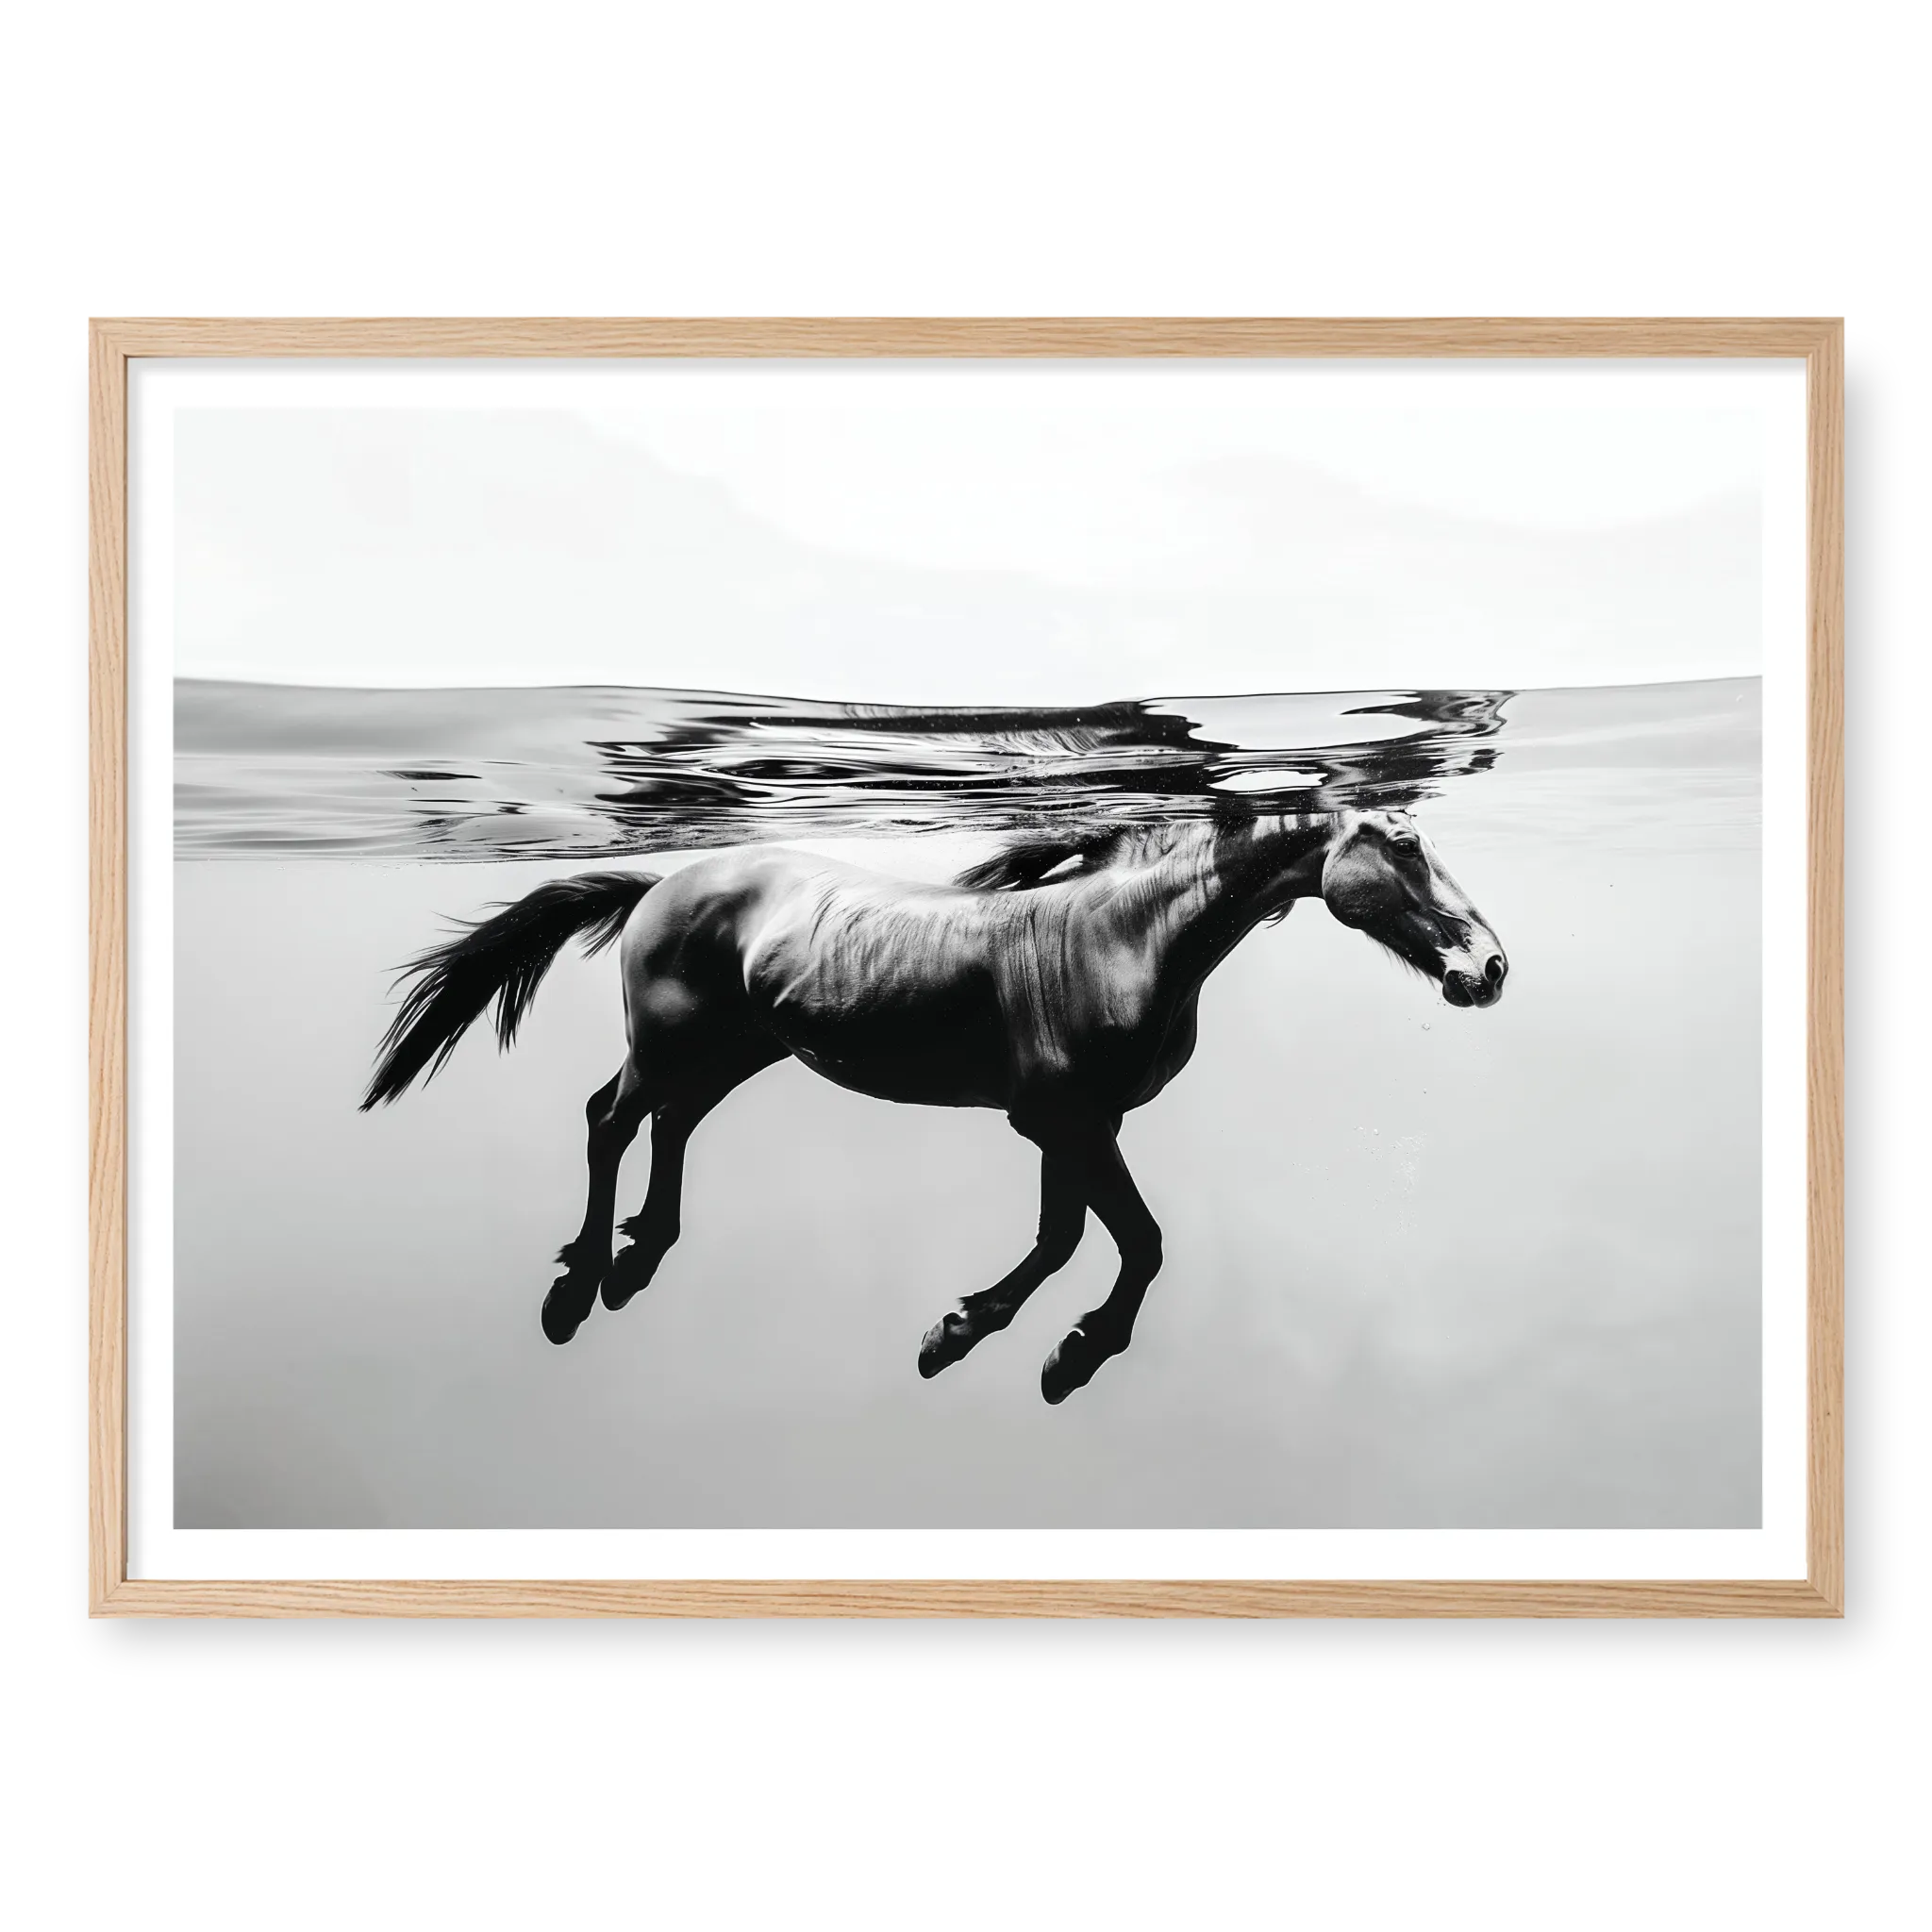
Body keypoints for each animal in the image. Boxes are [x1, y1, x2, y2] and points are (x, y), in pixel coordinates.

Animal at [360, 807, 1507, 1403]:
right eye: (1403, 843)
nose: (1487, 968)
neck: (1124, 938)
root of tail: (661, 885)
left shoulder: (1075, 1126)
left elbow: (1063, 1237)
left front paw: (976, 1337)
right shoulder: (1065, 1122)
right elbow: (1131, 1241)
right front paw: (1055, 1350)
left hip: (739, 1052)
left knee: (669, 1126)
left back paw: (636, 1263)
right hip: (673, 1044)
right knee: (610, 1117)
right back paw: (577, 1285)